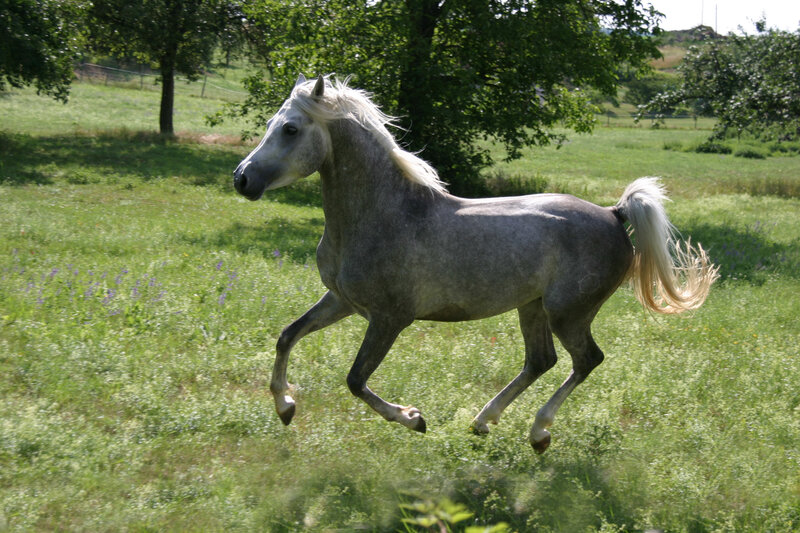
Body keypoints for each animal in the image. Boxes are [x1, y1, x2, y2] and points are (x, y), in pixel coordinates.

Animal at [232, 75, 718, 453]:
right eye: (271, 124)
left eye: (290, 129)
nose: (242, 179)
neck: (383, 215)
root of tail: (614, 213)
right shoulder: (342, 301)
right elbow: (287, 336)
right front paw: (285, 407)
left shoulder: (390, 318)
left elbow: (355, 379)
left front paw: (414, 418)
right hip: (532, 306)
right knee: (541, 361)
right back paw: (483, 422)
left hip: (569, 312)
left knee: (586, 360)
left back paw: (538, 433)